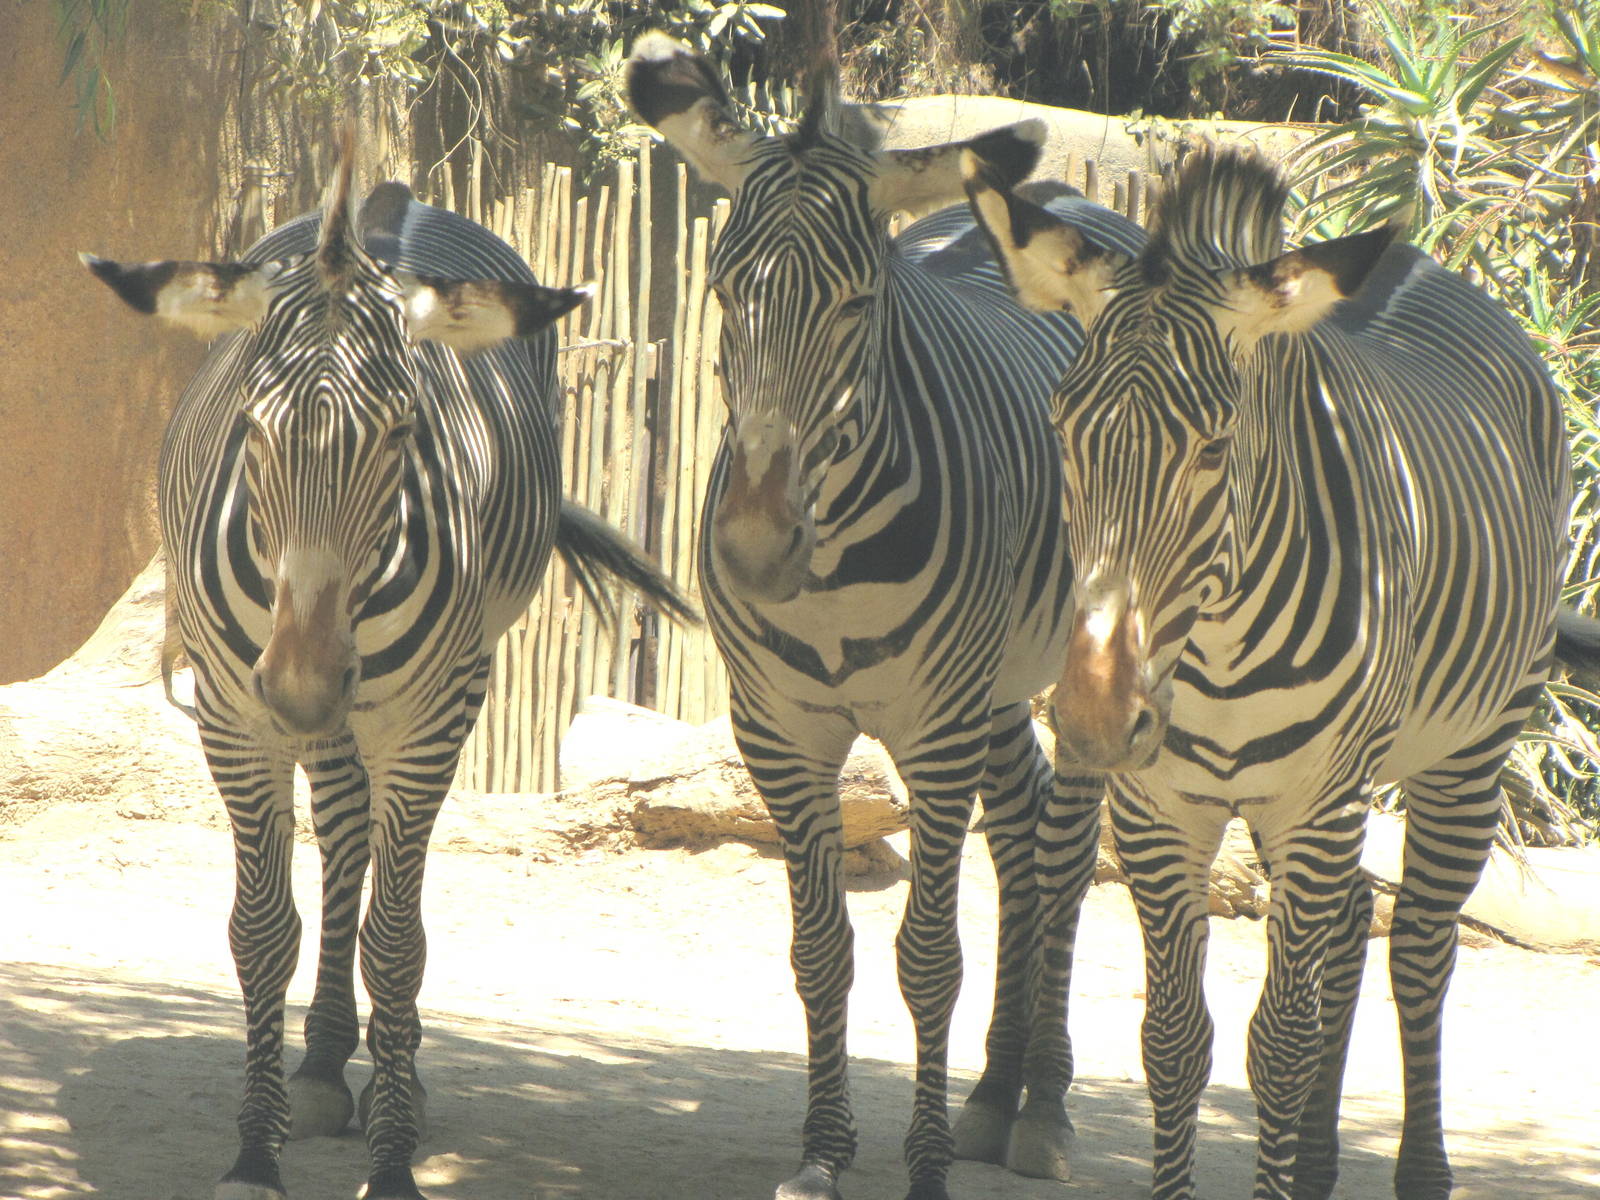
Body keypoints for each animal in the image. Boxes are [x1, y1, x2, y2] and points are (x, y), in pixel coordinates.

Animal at [83, 135, 692, 1200]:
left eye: (403, 433)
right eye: (251, 429)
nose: (303, 683)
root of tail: (388, 201)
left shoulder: (430, 716)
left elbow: (399, 944)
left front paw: (397, 1157)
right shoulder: (235, 717)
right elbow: (260, 929)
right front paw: (255, 1153)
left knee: (374, 864)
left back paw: (372, 1072)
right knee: (343, 836)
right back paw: (326, 1066)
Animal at [627, 33, 1144, 1200]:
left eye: (859, 304)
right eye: (720, 293)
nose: (754, 550)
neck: (831, 572)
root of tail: (1066, 198)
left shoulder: (934, 730)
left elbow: (927, 958)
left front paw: (925, 1166)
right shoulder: (780, 733)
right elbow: (821, 951)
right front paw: (823, 1152)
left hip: (1069, 657)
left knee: (1065, 843)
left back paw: (1044, 1106)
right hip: (995, 683)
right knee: (1024, 824)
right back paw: (996, 1091)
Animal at [965, 143, 1595, 1199]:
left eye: (1214, 450)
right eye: (1062, 428)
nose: (1094, 721)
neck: (1214, 648)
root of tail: (1422, 262)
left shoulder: (1317, 801)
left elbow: (1280, 1046)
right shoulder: (1162, 808)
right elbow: (1176, 1039)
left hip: (1465, 755)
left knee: (1420, 952)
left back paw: (1419, 1170)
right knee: (1351, 926)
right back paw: (1318, 1163)